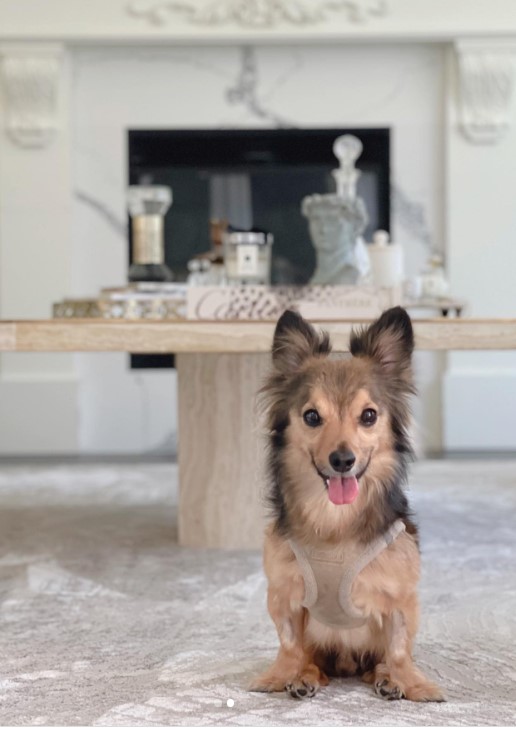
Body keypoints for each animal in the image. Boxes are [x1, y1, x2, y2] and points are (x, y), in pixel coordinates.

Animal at [250, 306, 444, 700]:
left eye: (368, 416)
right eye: (311, 416)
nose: (342, 460)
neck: (335, 519)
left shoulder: (401, 598)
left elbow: (399, 649)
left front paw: (413, 684)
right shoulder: (284, 595)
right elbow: (289, 645)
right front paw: (280, 676)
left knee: (381, 660)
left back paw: (386, 680)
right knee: (311, 657)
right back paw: (305, 678)